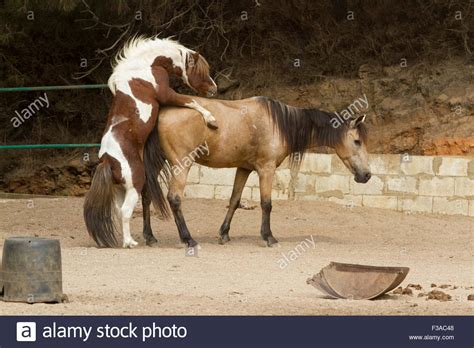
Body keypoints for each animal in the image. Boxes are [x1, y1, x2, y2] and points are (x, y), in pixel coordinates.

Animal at [84, 36, 218, 247]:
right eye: (200, 70)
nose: (214, 89)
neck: (145, 66)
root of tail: (108, 160)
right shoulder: (166, 94)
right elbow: (191, 101)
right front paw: (211, 118)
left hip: (121, 189)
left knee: (120, 211)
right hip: (135, 184)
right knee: (125, 211)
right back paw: (130, 243)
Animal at [87, 95, 372, 247]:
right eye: (357, 141)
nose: (367, 175)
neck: (278, 123)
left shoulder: (244, 169)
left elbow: (234, 200)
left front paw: (224, 233)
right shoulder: (265, 169)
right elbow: (266, 203)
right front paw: (268, 237)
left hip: (156, 165)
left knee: (146, 196)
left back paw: (150, 236)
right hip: (181, 166)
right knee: (174, 198)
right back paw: (187, 239)